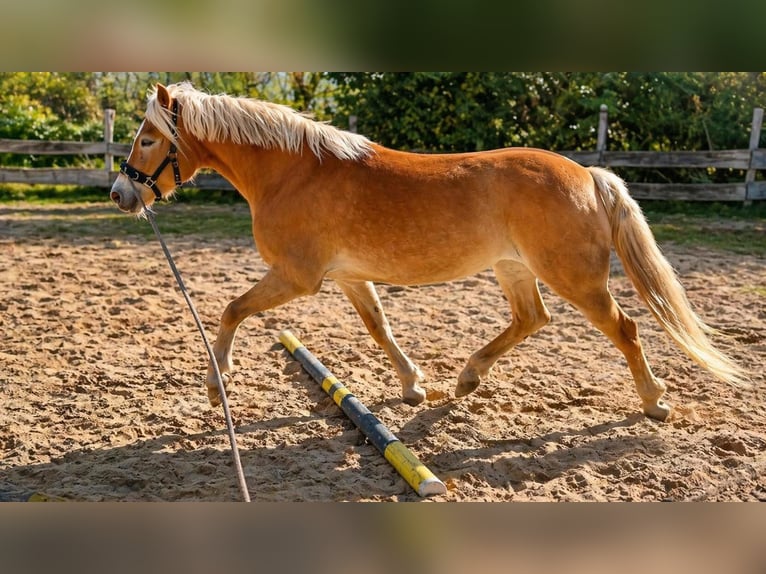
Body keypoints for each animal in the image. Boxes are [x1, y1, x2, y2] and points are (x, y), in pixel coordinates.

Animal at [110, 82, 747, 422]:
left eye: (148, 139)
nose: (120, 194)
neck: (293, 172)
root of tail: (589, 176)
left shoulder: (296, 276)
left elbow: (231, 310)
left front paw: (217, 384)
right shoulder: (348, 277)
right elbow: (380, 327)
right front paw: (414, 385)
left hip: (575, 279)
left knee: (626, 329)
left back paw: (655, 402)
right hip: (514, 269)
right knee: (532, 319)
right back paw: (466, 380)